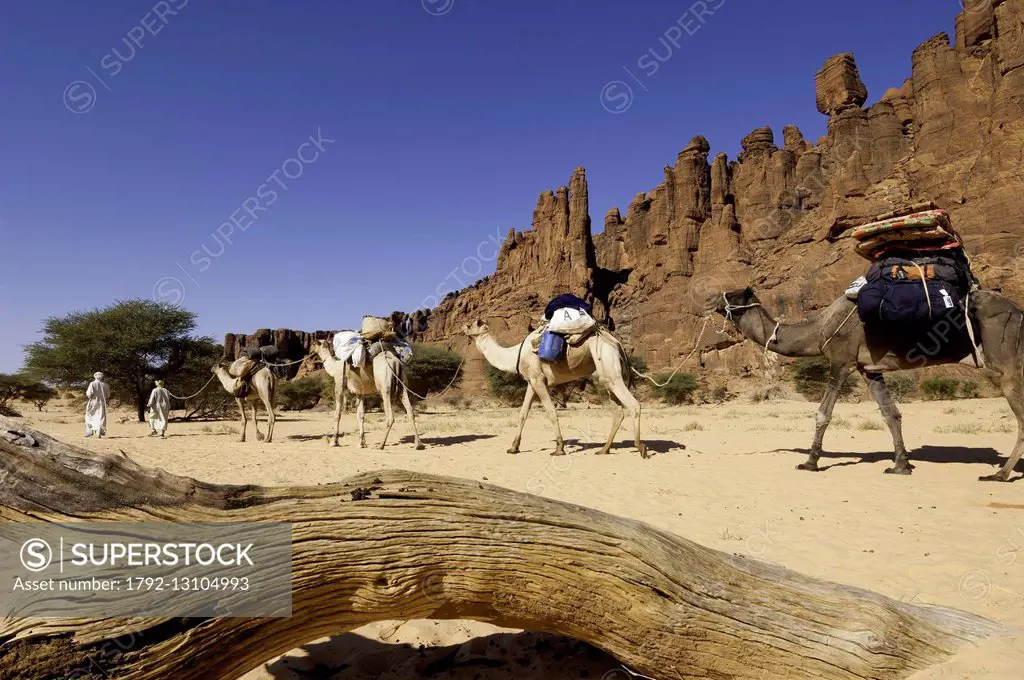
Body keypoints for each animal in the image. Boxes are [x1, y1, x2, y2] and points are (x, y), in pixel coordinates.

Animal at [464, 319, 647, 458]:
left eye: (469, 324)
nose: (462, 328)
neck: (516, 355)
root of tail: (616, 342)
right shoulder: (531, 382)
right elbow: (523, 414)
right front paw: (513, 448)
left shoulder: (538, 380)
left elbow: (551, 411)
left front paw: (559, 448)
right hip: (607, 374)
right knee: (618, 411)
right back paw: (604, 449)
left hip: (609, 367)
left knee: (633, 405)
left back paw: (640, 447)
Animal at [712, 286, 1024, 483]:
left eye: (732, 294)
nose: (710, 300)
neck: (819, 328)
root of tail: (1018, 312)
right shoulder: (868, 369)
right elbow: (891, 414)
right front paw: (900, 465)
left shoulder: (841, 360)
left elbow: (823, 414)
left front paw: (810, 462)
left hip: (1006, 361)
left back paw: (999, 474)